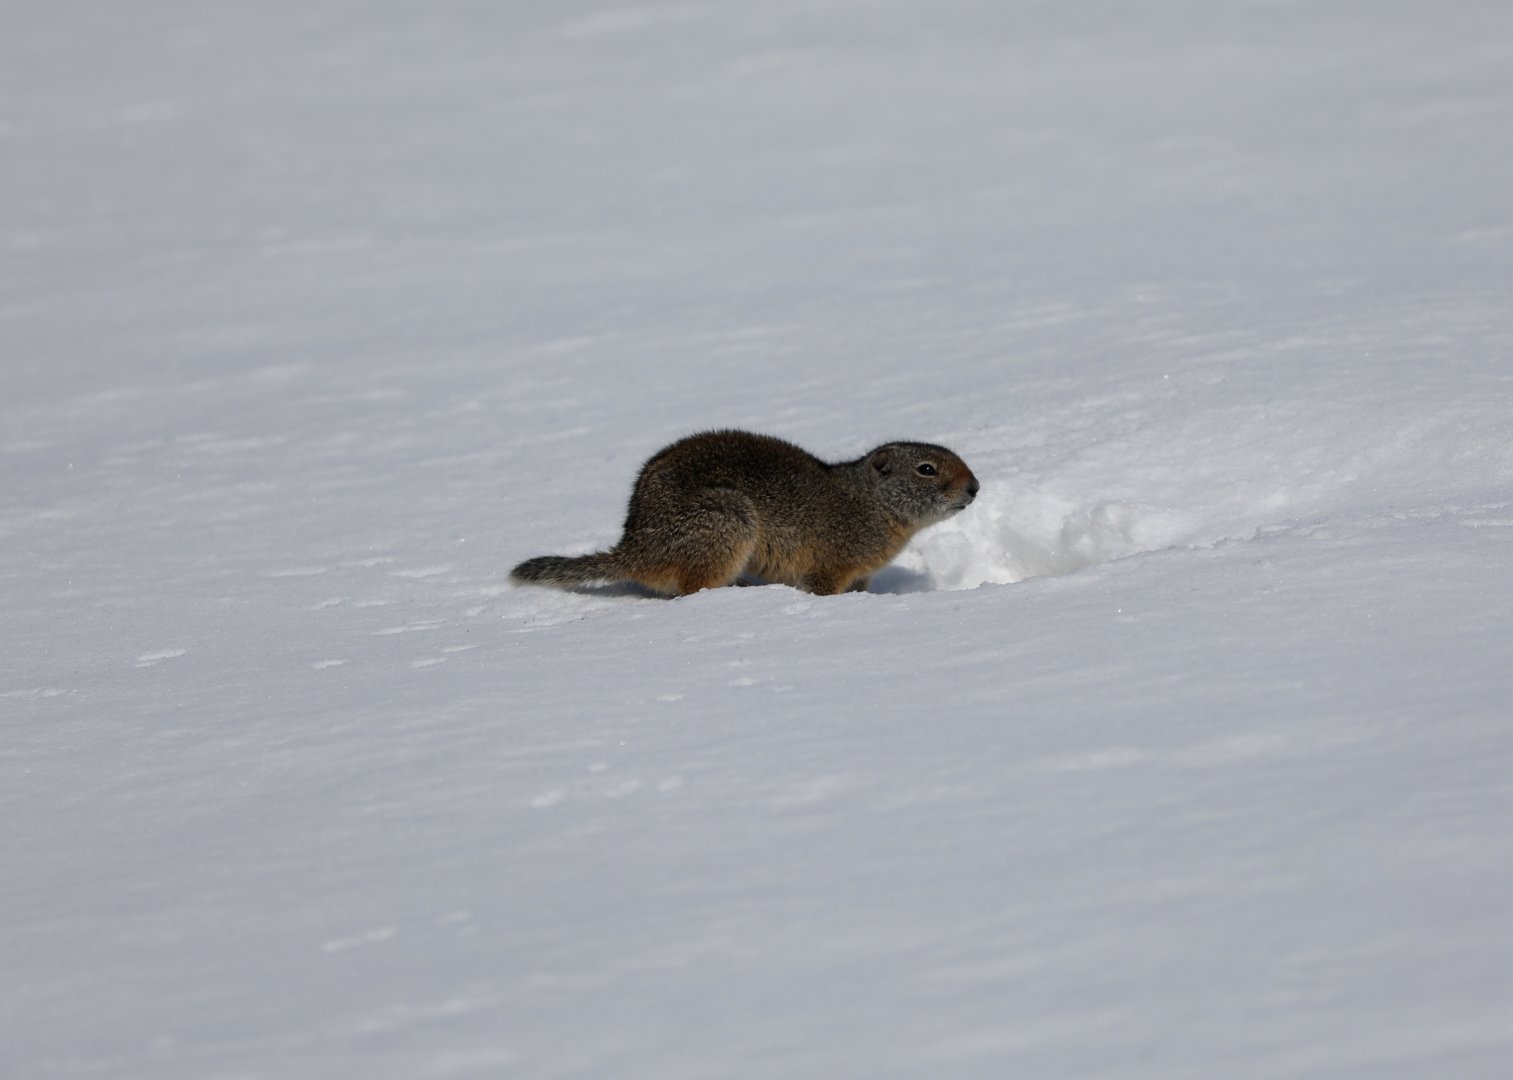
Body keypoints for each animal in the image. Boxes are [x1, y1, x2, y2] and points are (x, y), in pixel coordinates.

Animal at [510, 429, 979, 596]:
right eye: (927, 468)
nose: (975, 486)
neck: (869, 502)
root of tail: (633, 547)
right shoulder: (833, 563)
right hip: (725, 522)